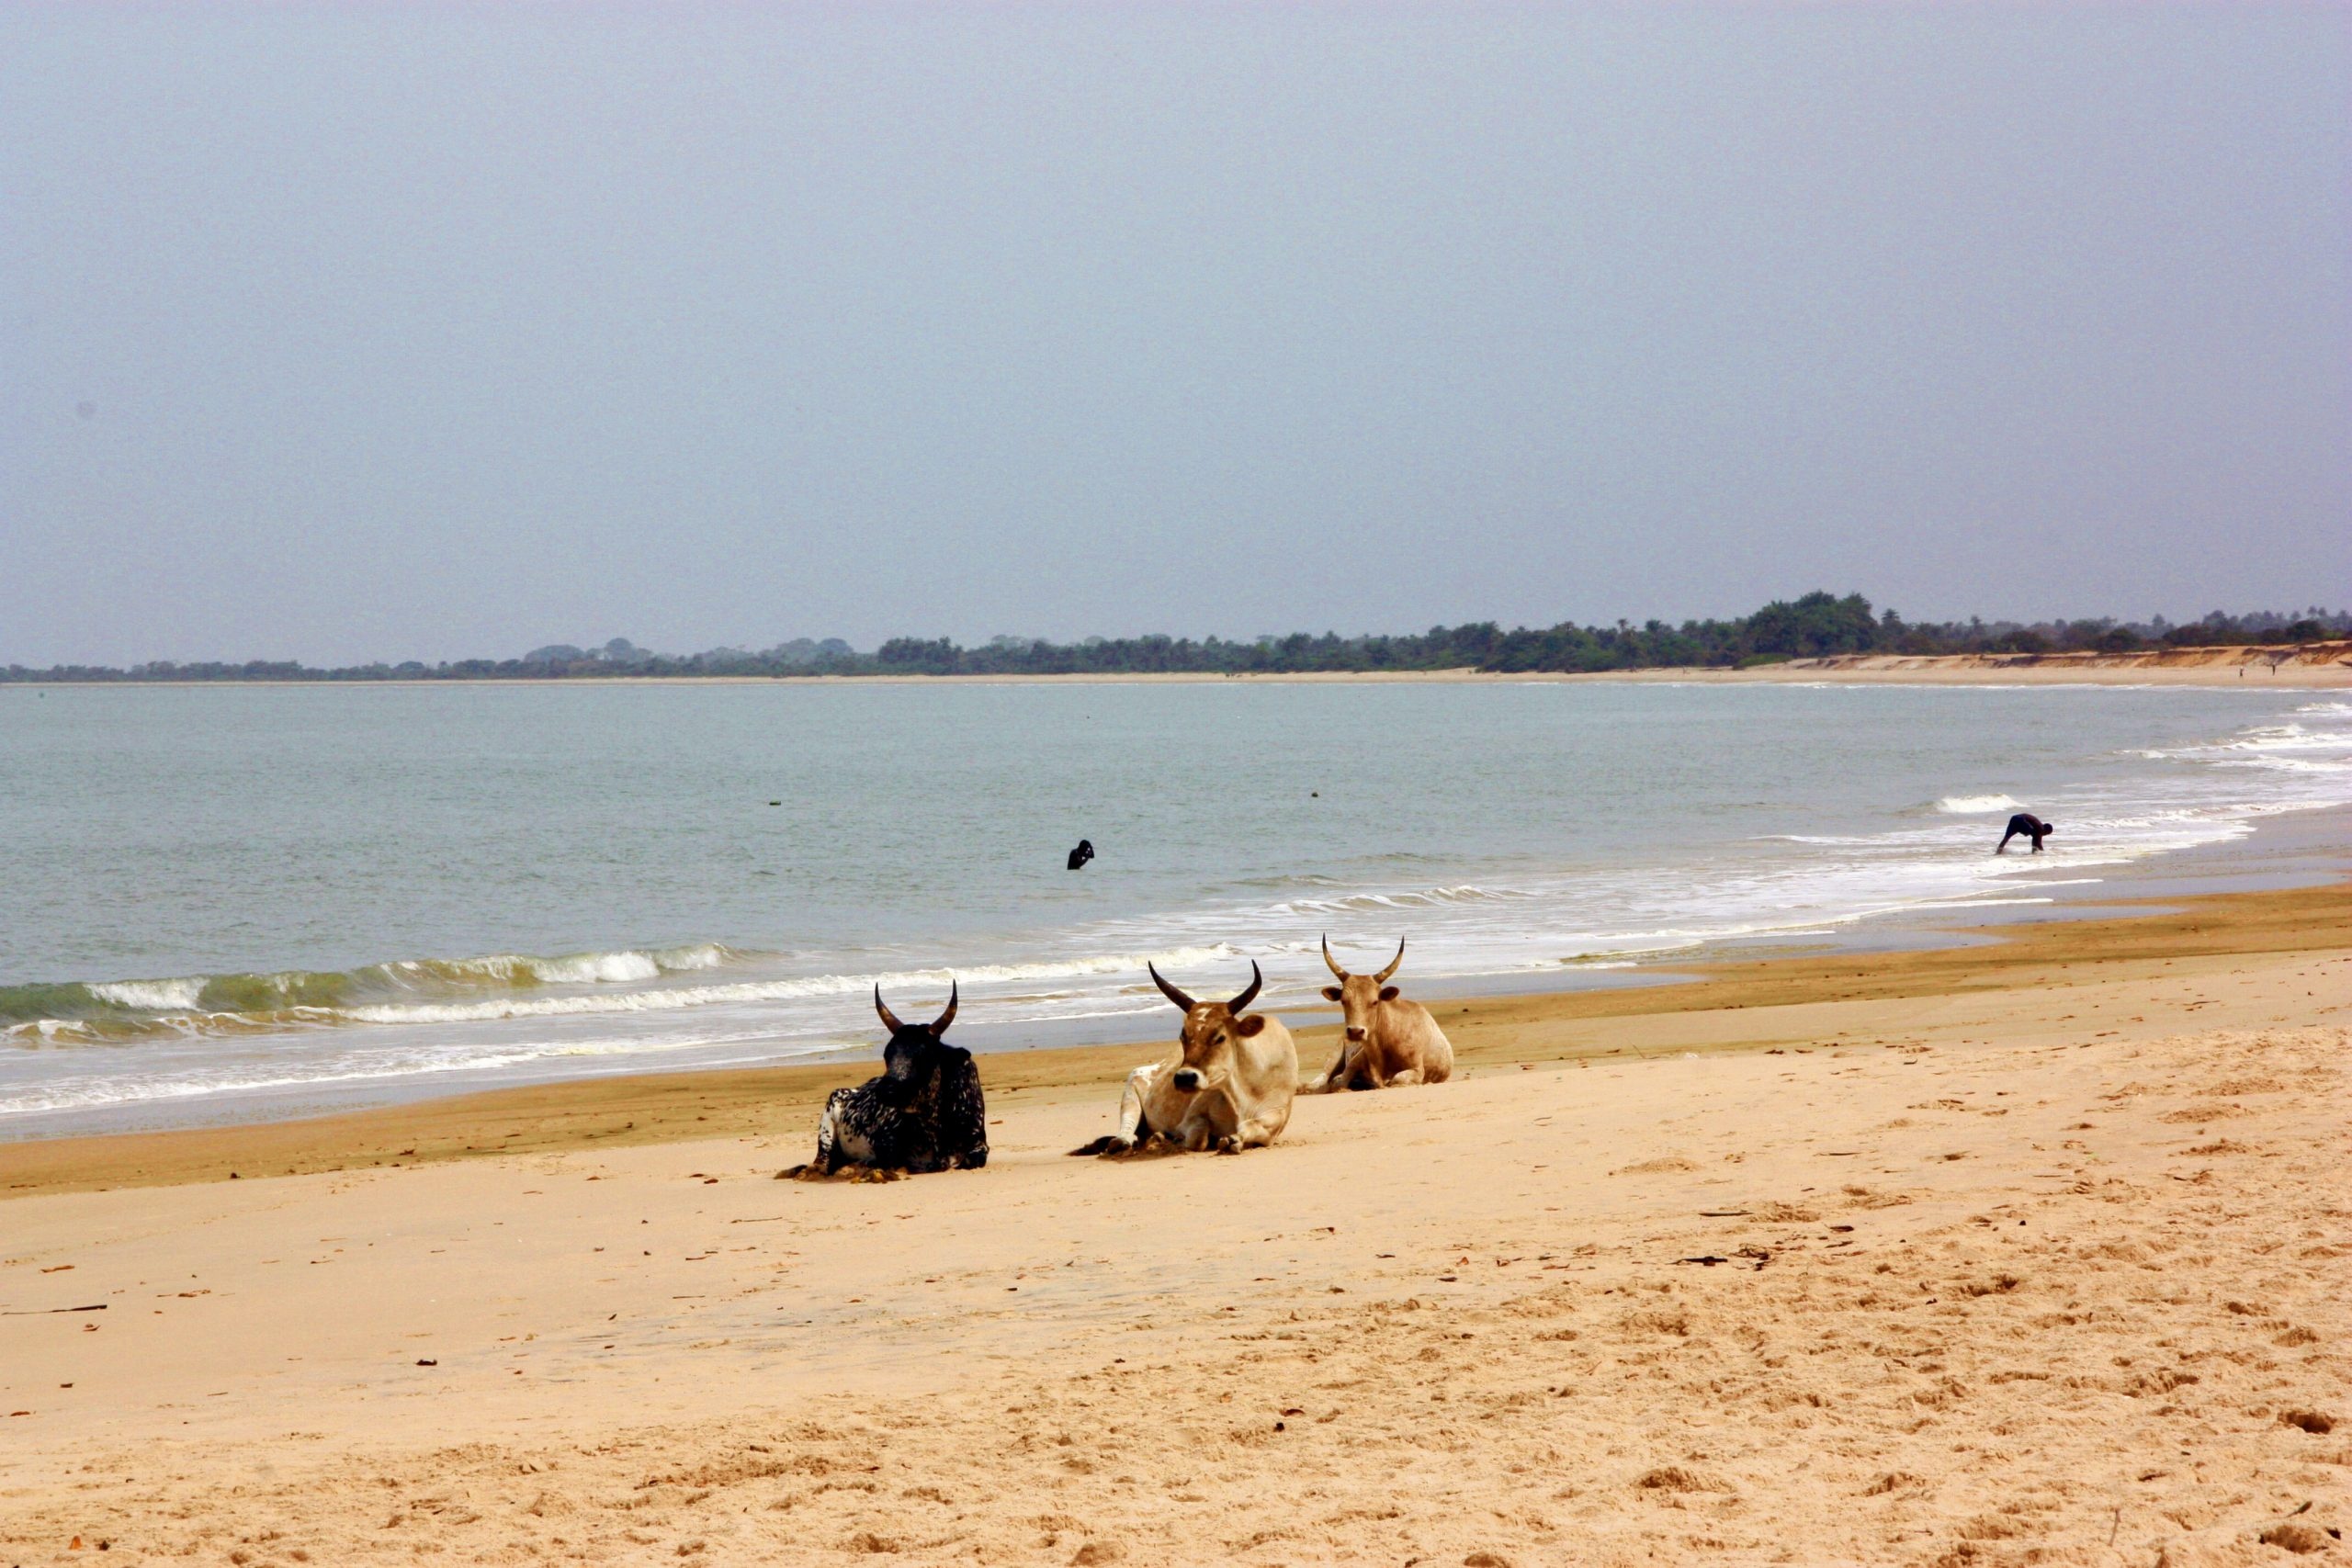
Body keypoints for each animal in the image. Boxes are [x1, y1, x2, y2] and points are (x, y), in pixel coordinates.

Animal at [1072, 959, 1298, 1152]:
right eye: (1183, 1035)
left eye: (1220, 1037)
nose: (1184, 1078)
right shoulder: (1191, 1118)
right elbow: (1197, 1139)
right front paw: (1173, 1139)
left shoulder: (1274, 1120)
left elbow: (1251, 1127)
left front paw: (1233, 1140)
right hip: (1130, 1091)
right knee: (1126, 1131)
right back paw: (1135, 1141)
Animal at [1307, 940, 1448, 1100]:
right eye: (1343, 1001)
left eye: (1375, 1001)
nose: (1355, 1032)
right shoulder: (1355, 1062)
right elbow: (1339, 1081)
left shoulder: (1417, 1069)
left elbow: (1397, 1079)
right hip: (1334, 1054)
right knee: (1321, 1079)